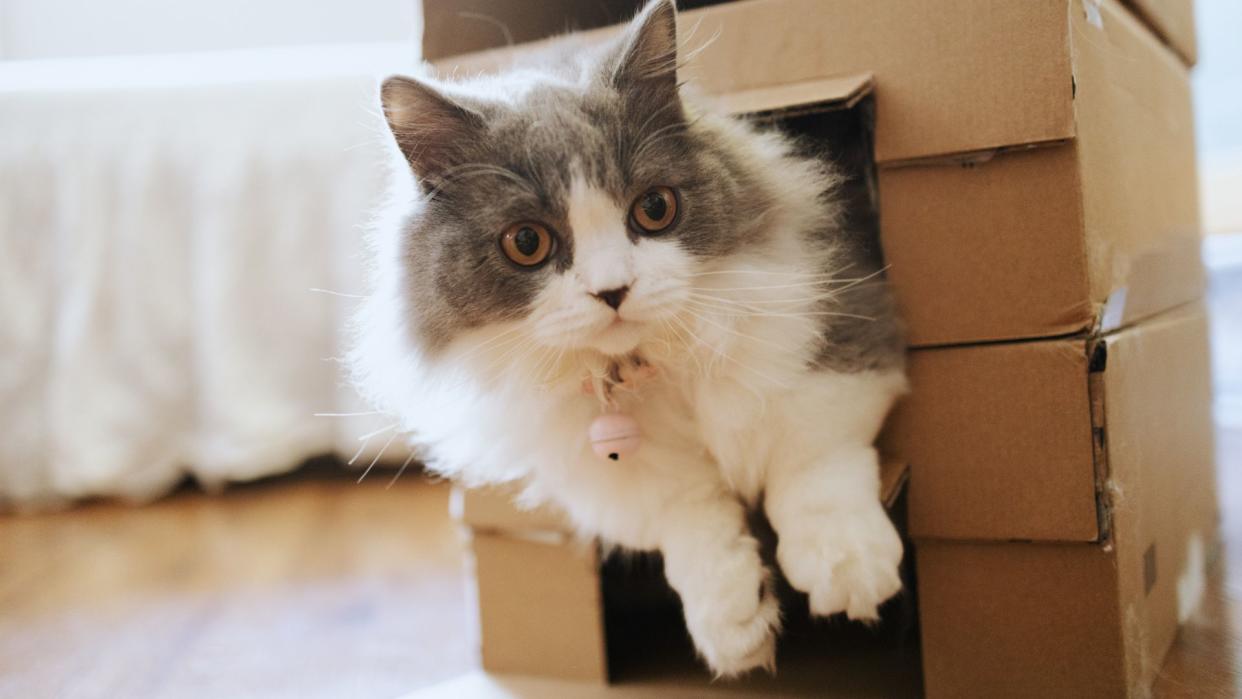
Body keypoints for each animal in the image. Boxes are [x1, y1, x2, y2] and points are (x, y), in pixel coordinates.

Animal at [345, 0, 909, 680]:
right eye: (526, 242)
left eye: (655, 208)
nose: (612, 291)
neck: (648, 366)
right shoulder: (619, 481)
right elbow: (691, 519)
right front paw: (733, 628)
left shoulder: (843, 331)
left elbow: (809, 459)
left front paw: (847, 571)